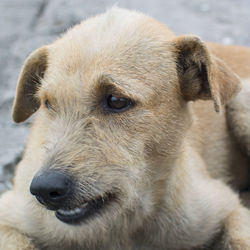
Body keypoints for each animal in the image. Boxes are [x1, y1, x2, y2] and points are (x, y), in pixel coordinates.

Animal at [0, 6, 250, 249]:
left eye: (117, 101)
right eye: (48, 103)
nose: (43, 189)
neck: (126, 225)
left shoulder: (227, 207)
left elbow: (239, 237)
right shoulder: (10, 214)